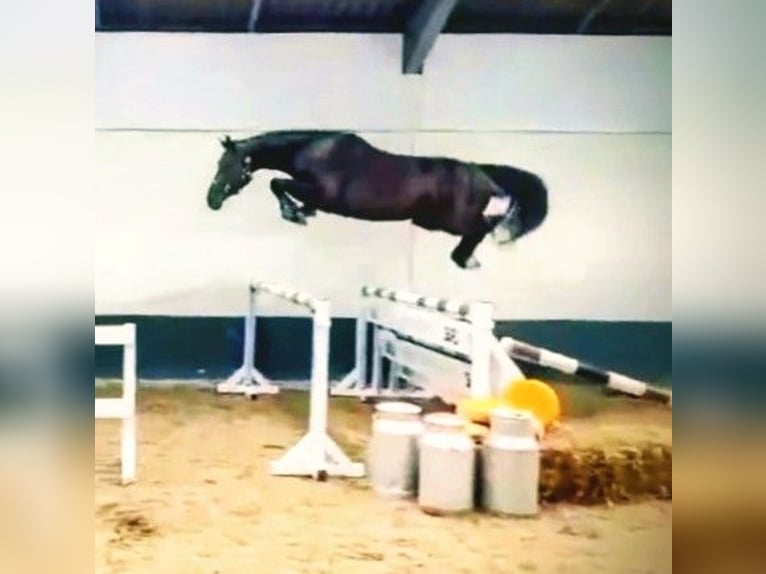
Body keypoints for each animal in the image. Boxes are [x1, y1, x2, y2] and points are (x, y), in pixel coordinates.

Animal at [205, 130, 548, 269]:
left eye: (226, 165)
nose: (212, 200)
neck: (314, 150)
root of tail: (481, 171)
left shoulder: (322, 191)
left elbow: (276, 183)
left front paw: (294, 213)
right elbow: (284, 189)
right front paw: (301, 212)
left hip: (451, 221)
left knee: (483, 227)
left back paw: (468, 258)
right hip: (430, 221)